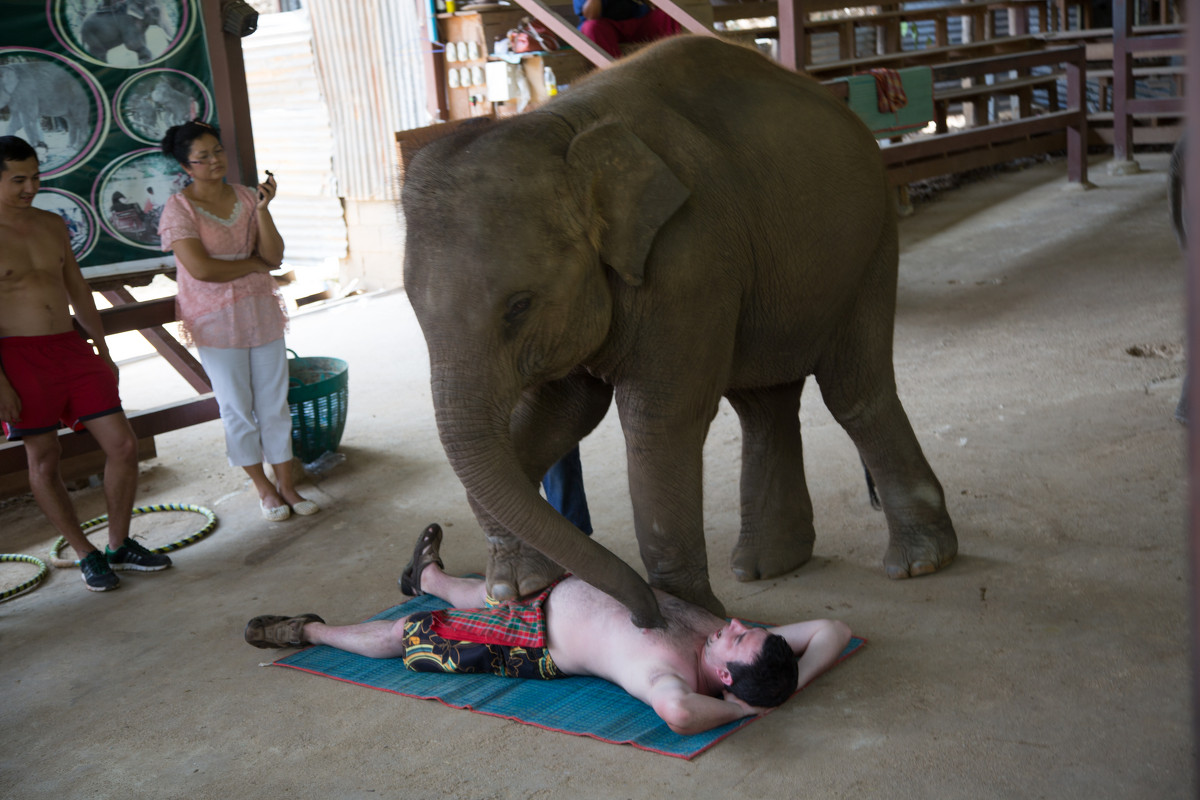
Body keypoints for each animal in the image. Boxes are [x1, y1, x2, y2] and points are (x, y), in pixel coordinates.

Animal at [400, 34, 955, 628]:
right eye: (413, 309)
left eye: (519, 306)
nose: (643, 616)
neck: (561, 127)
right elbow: (562, 411)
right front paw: (516, 587)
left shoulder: (689, 262)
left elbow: (658, 421)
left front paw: (687, 619)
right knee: (764, 406)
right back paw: (768, 566)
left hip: (870, 243)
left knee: (853, 391)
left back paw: (920, 563)